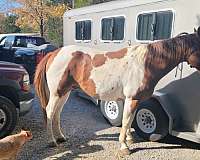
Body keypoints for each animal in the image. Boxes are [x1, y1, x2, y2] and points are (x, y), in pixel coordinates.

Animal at [34, 27, 200, 155]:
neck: (145, 63)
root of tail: (54, 53)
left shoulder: (134, 100)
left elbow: (130, 120)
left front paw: (129, 139)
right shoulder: (132, 98)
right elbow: (126, 121)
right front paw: (124, 147)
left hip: (65, 92)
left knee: (57, 113)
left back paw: (61, 137)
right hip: (56, 93)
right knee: (50, 112)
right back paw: (52, 141)